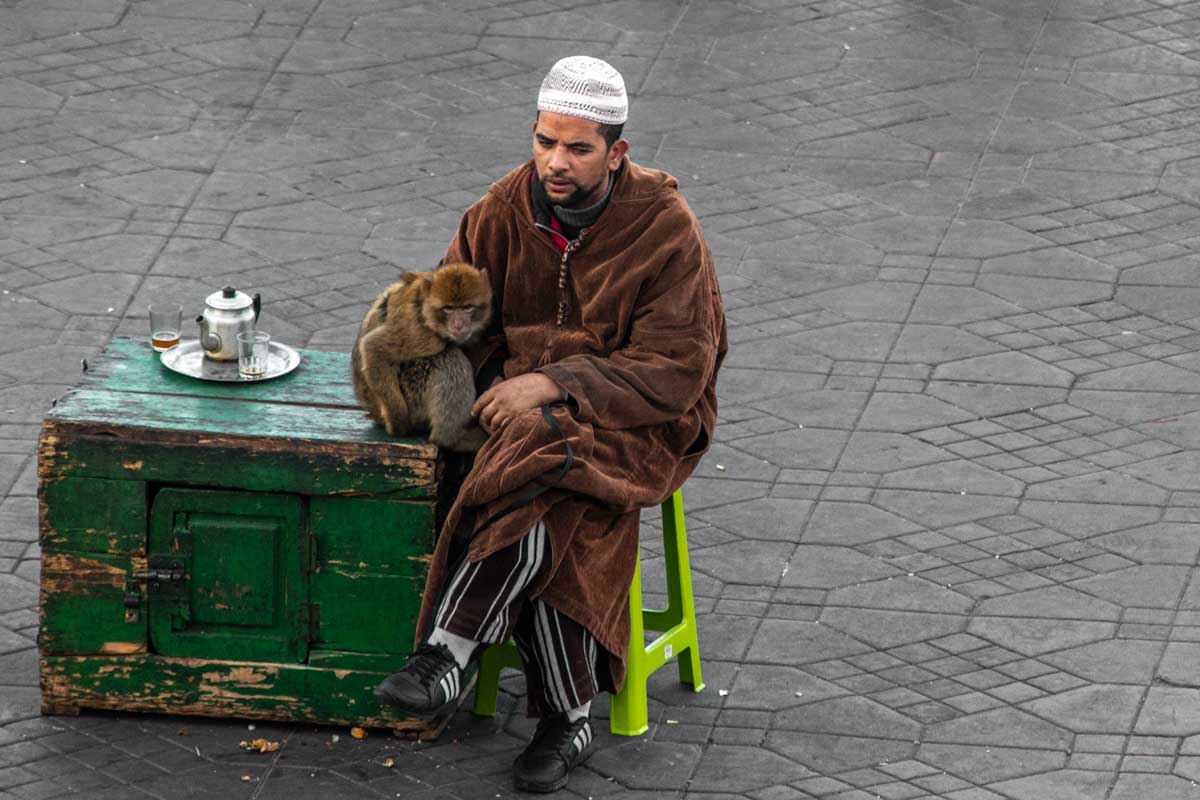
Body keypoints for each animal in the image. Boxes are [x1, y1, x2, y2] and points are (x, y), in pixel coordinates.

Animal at [350, 261, 492, 453]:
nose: (459, 324)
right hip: (413, 392)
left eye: (467, 307)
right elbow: (373, 348)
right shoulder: (419, 334)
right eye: (448, 308)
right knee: (450, 358)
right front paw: (399, 424)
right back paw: (450, 439)